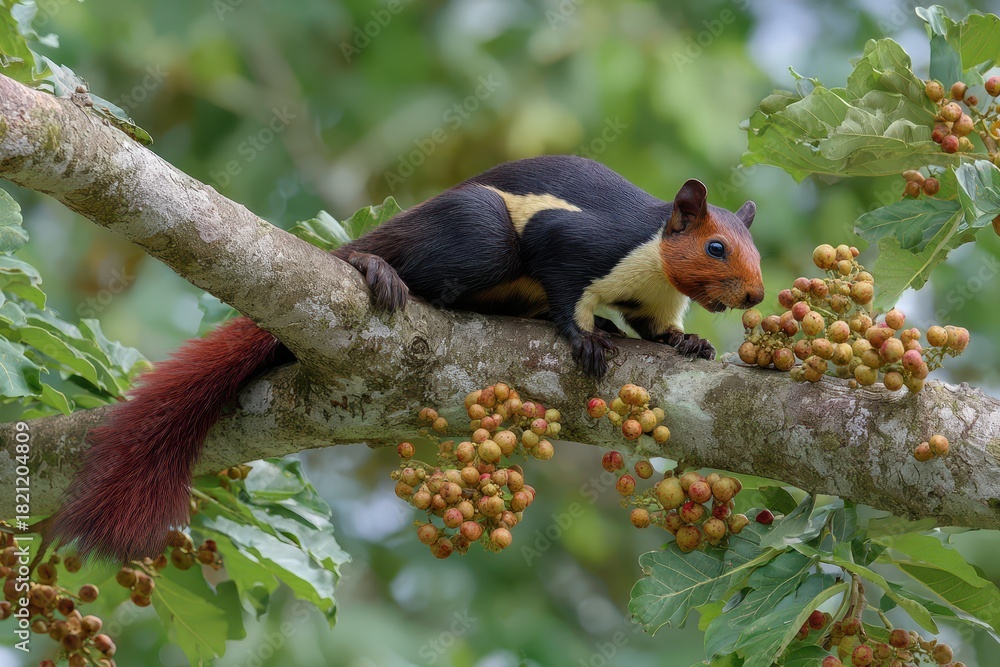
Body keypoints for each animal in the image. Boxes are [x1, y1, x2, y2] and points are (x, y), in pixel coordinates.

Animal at [48, 155, 764, 561]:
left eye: (751, 248)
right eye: (716, 247)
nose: (756, 294)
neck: (653, 262)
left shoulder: (653, 301)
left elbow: (654, 329)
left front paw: (689, 342)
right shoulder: (578, 242)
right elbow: (568, 290)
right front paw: (583, 336)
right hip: (479, 232)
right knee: (421, 263)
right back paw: (373, 267)